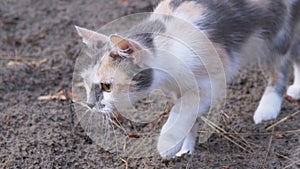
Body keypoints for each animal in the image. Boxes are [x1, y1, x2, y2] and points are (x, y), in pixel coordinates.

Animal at [75, 0, 300, 158]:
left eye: (107, 86)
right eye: (86, 83)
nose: (89, 104)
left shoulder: (212, 78)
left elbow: (183, 109)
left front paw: (166, 145)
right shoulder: (177, 88)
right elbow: (191, 117)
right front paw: (185, 150)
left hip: (277, 35)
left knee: (280, 68)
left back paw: (267, 109)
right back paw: (296, 89)